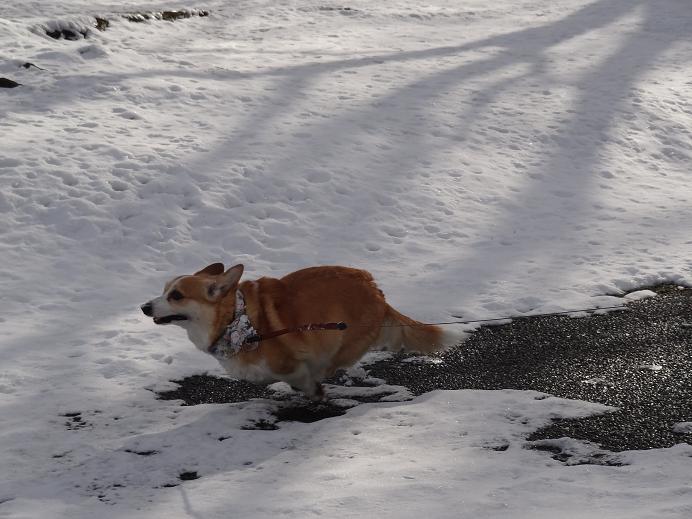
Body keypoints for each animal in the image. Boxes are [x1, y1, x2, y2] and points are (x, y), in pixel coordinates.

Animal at [141, 264, 464, 398]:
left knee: (328, 362)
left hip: (339, 339)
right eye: (164, 290)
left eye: (176, 296)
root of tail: (378, 294)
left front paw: (311, 389)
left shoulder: (287, 363)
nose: (144, 307)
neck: (234, 318)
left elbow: (299, 375)